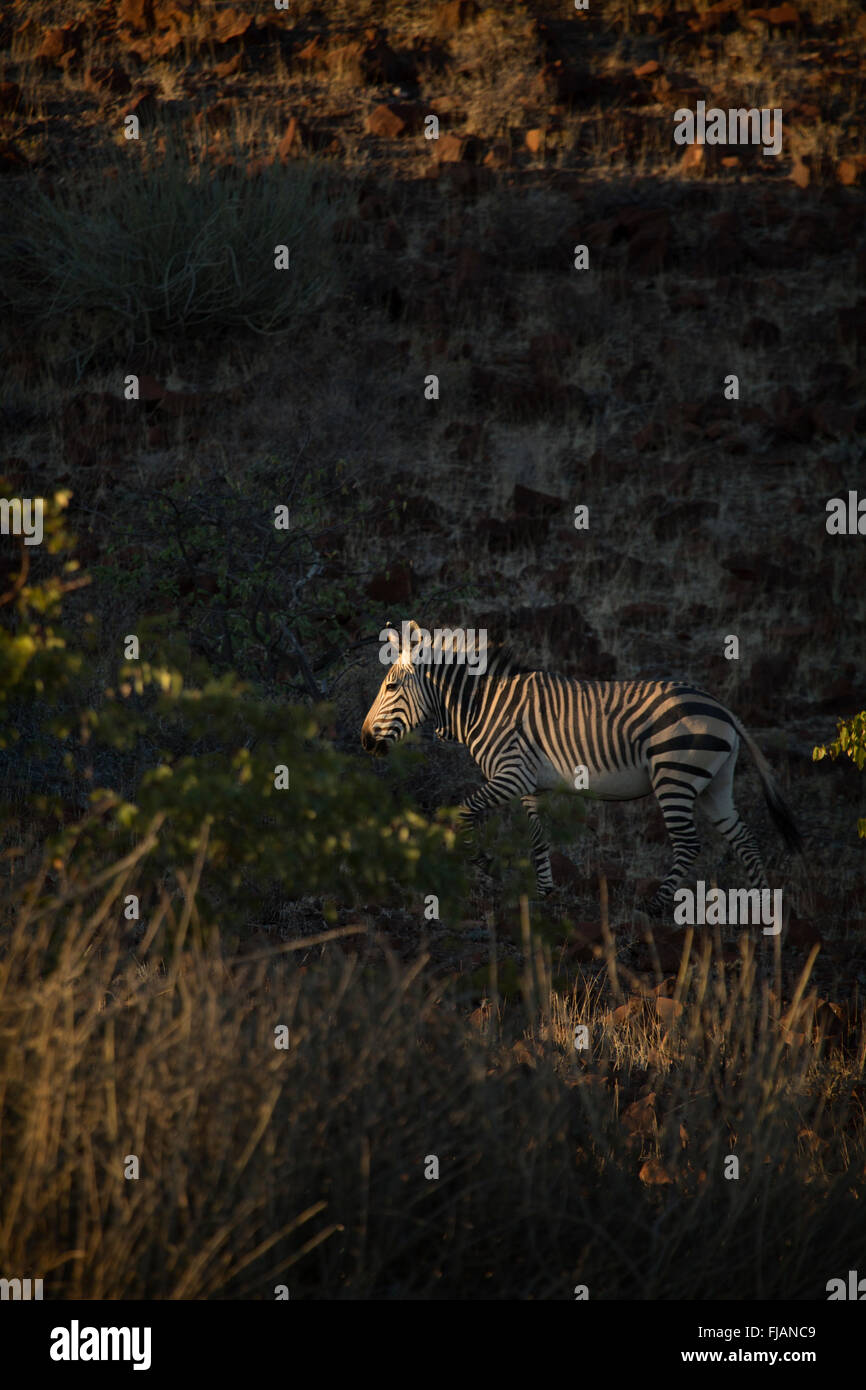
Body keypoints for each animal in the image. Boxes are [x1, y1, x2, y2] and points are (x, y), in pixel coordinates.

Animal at [360, 621, 803, 914]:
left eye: (391, 686)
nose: (364, 741)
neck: (486, 706)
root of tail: (724, 709)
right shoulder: (528, 784)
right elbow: (538, 839)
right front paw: (544, 892)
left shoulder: (509, 776)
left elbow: (463, 812)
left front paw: (486, 864)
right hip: (714, 785)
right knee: (744, 840)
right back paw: (760, 911)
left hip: (674, 776)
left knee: (689, 843)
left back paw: (656, 907)